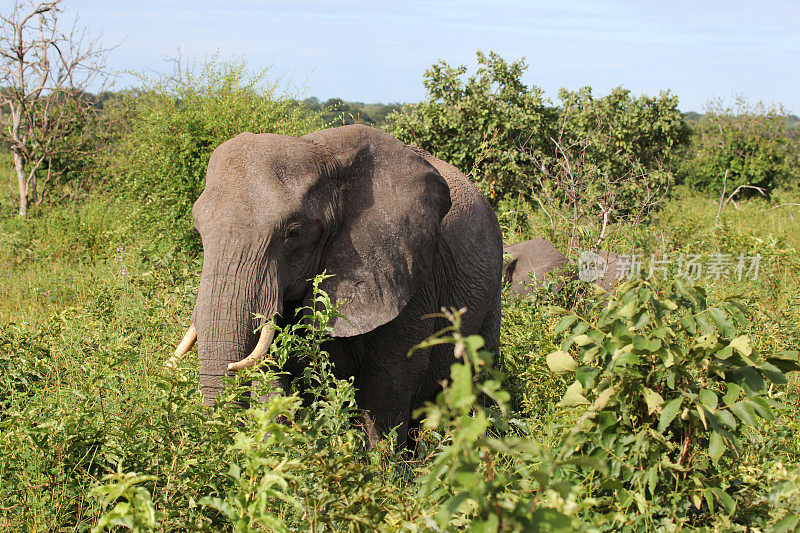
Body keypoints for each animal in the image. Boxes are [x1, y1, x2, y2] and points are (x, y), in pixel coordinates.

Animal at [172, 124, 504, 444]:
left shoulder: (409, 271)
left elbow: (392, 380)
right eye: (198, 229)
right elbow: (273, 378)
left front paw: (382, 464)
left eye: (293, 232)